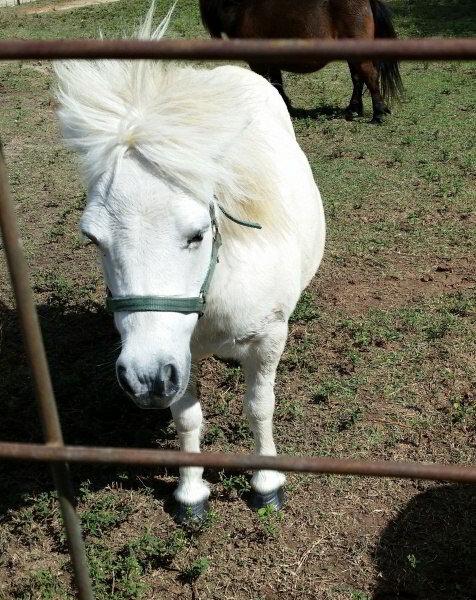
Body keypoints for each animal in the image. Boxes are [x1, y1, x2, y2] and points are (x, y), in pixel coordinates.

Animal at [54, 7, 324, 516]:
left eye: (197, 234)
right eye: (92, 239)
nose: (143, 378)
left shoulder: (270, 337)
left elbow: (259, 406)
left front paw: (267, 481)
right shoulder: (177, 355)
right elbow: (187, 417)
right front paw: (191, 490)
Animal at [199, 0, 404, 123]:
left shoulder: (257, 60)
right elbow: (277, 83)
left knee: (369, 76)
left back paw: (378, 114)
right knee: (358, 77)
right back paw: (353, 109)